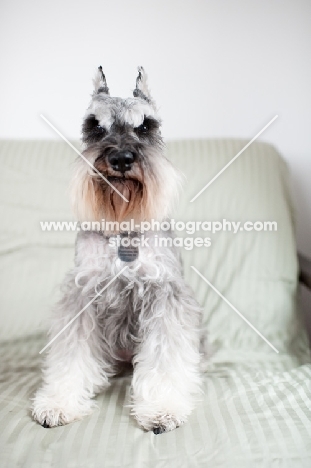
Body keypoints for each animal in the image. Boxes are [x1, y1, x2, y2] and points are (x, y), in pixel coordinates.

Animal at [32, 66, 205, 436]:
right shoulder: (82, 297)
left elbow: (165, 355)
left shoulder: (164, 296)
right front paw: (59, 403)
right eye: (94, 125)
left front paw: (162, 408)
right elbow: (72, 354)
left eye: (146, 126)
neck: (122, 227)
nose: (121, 158)